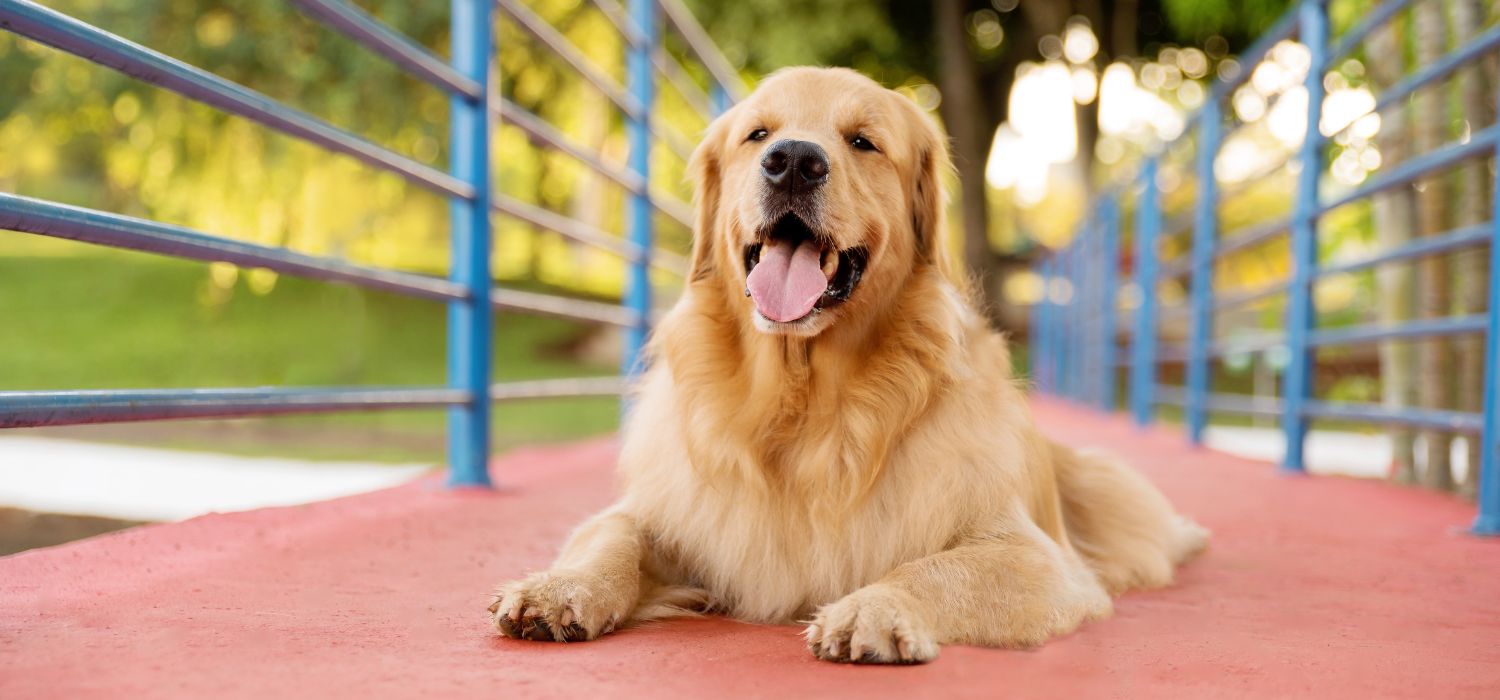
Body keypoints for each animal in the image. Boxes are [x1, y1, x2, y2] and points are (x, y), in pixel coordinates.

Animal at [492, 65, 1206, 662]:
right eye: (758, 135)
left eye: (863, 142)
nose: (792, 162)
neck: (803, 397)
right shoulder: (674, 508)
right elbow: (611, 536)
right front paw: (560, 587)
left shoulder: (1034, 555)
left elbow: (935, 568)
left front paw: (874, 608)